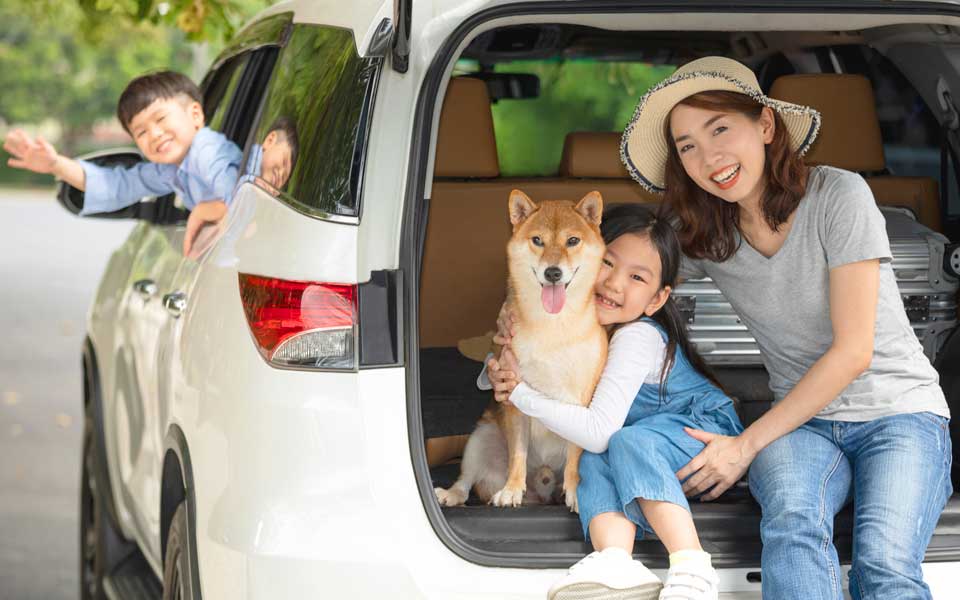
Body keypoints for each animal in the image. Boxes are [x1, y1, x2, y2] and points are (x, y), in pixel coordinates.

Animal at [436, 191, 608, 510]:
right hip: (481, 437)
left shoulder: (583, 405)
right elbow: (518, 453)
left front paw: (576, 491)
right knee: (466, 482)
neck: (553, 327)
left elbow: (575, 458)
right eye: (537, 240)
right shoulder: (514, 396)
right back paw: (450, 495)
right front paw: (512, 490)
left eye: (572, 241)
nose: (552, 272)